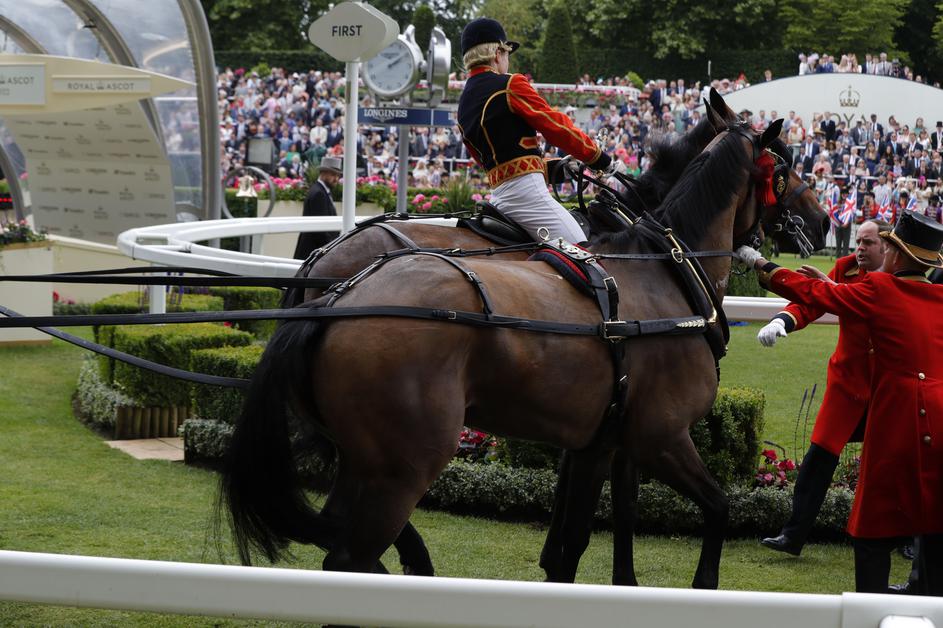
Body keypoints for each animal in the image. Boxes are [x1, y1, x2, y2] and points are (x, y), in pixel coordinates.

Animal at [221, 118, 824, 588]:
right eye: (789, 167)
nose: (822, 222)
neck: (661, 268)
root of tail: (340, 291)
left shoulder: (599, 441)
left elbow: (577, 539)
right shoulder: (660, 436)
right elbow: (708, 508)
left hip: (365, 459)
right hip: (403, 466)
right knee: (350, 555)